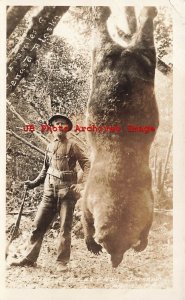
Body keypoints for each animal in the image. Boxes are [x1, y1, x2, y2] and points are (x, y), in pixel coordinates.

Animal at [82, 5, 159, 268]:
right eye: (108, 247)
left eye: (124, 247)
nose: (115, 263)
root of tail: (126, 52)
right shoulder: (88, 197)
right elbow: (85, 220)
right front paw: (90, 242)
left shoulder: (148, 203)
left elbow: (147, 225)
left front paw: (142, 242)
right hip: (130, 58)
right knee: (132, 40)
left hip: (125, 58)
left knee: (111, 38)